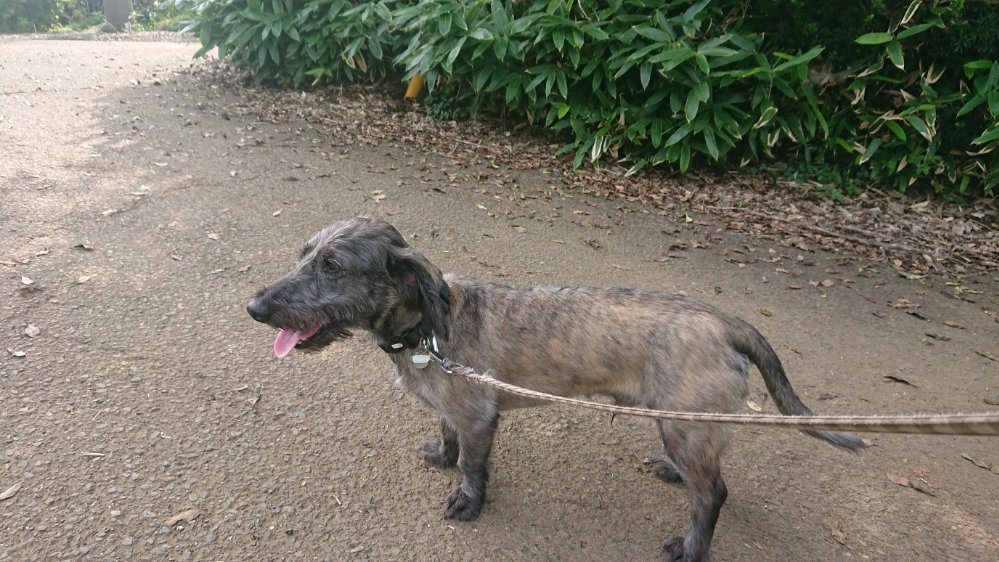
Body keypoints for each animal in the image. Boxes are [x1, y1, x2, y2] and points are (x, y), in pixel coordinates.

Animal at [247, 217, 865, 561]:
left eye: (333, 265)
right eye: (303, 255)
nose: (254, 307)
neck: (427, 330)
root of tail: (722, 319)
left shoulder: (479, 419)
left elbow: (473, 466)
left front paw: (467, 501)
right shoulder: (453, 410)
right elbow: (446, 436)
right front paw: (441, 456)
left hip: (684, 428)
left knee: (712, 495)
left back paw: (691, 549)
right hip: (685, 425)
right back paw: (672, 472)